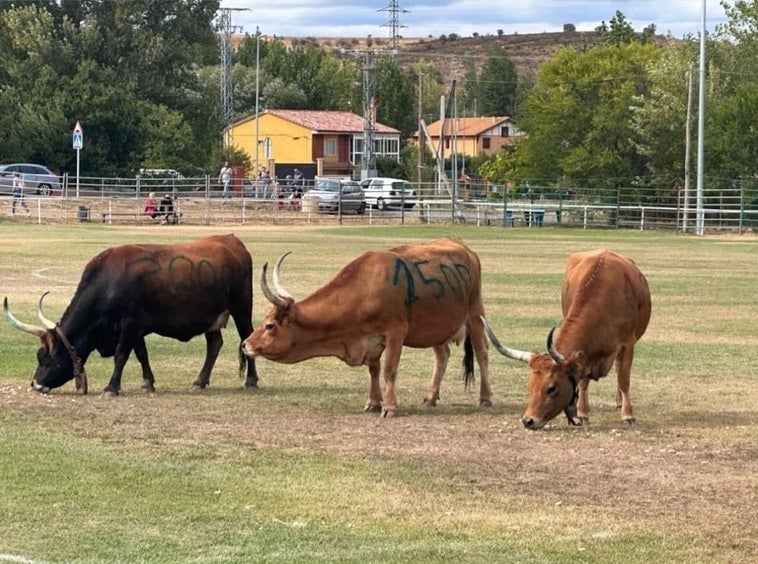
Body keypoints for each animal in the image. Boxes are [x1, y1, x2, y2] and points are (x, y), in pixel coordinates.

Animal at [2, 231, 260, 394]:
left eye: (46, 358)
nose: (35, 384)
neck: (109, 282)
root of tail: (231, 240)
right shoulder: (135, 328)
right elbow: (141, 354)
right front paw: (147, 383)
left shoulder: (130, 324)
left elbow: (121, 355)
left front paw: (111, 388)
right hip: (210, 316)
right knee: (214, 344)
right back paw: (200, 381)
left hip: (241, 308)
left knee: (246, 337)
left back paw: (251, 381)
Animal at [243, 236, 492, 416]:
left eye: (269, 326)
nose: (246, 344)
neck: (365, 289)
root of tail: (463, 247)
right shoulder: (370, 339)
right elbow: (374, 370)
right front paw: (373, 402)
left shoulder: (395, 333)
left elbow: (389, 370)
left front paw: (389, 407)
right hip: (435, 328)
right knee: (442, 356)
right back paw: (431, 396)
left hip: (475, 314)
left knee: (482, 354)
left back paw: (485, 397)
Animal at [484, 249, 652, 430]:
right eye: (530, 385)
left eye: (552, 388)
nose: (528, 420)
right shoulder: (585, 354)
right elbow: (583, 382)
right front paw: (582, 413)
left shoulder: (627, 344)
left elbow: (623, 379)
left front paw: (628, 415)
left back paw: (620, 402)